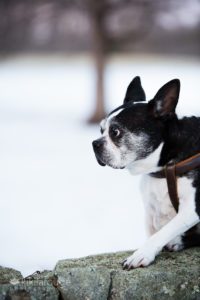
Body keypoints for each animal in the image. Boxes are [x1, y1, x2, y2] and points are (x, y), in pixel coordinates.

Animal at [92, 77, 200, 270]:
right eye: (101, 130)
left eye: (115, 132)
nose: (94, 143)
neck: (163, 167)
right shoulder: (150, 209)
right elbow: (152, 232)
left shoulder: (191, 209)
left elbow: (163, 232)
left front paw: (142, 254)